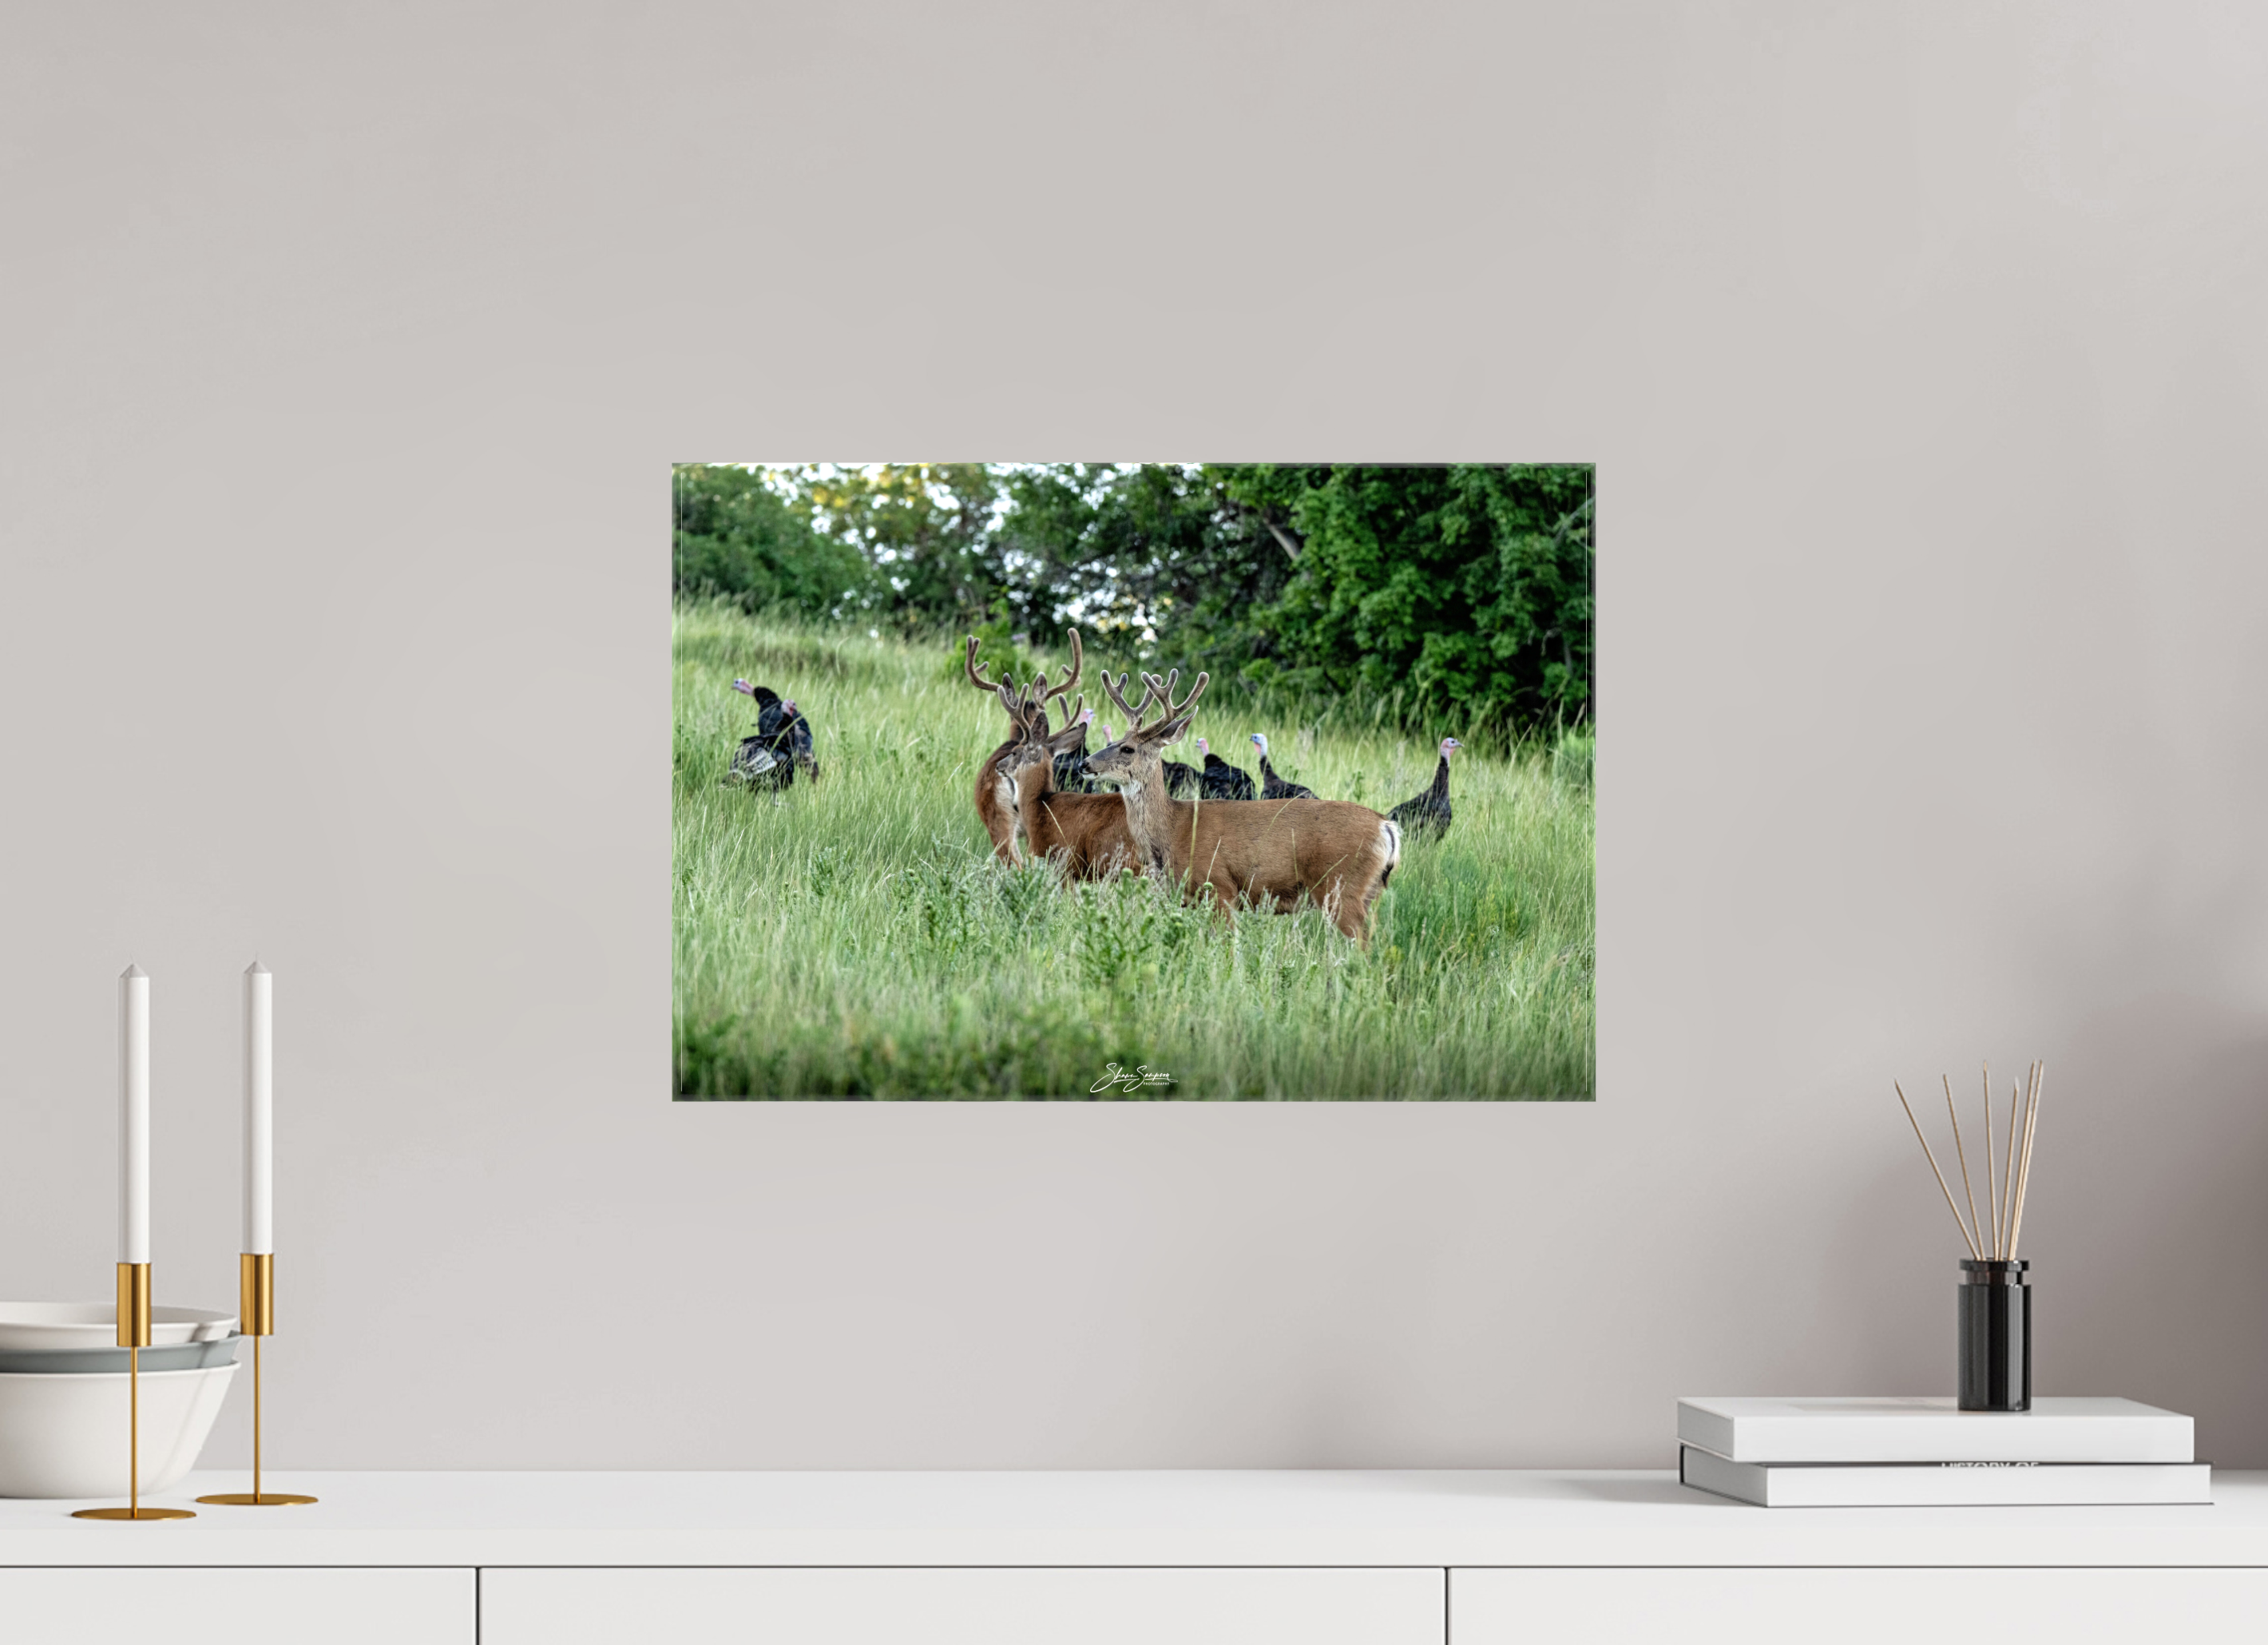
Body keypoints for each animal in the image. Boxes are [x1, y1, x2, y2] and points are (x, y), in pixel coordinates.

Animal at [1084, 669, 1401, 945]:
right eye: (1117, 740)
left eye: (1127, 749)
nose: (1084, 763)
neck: (1175, 829)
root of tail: (1386, 826)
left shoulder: (1219, 887)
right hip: (1369, 892)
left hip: (1341, 886)